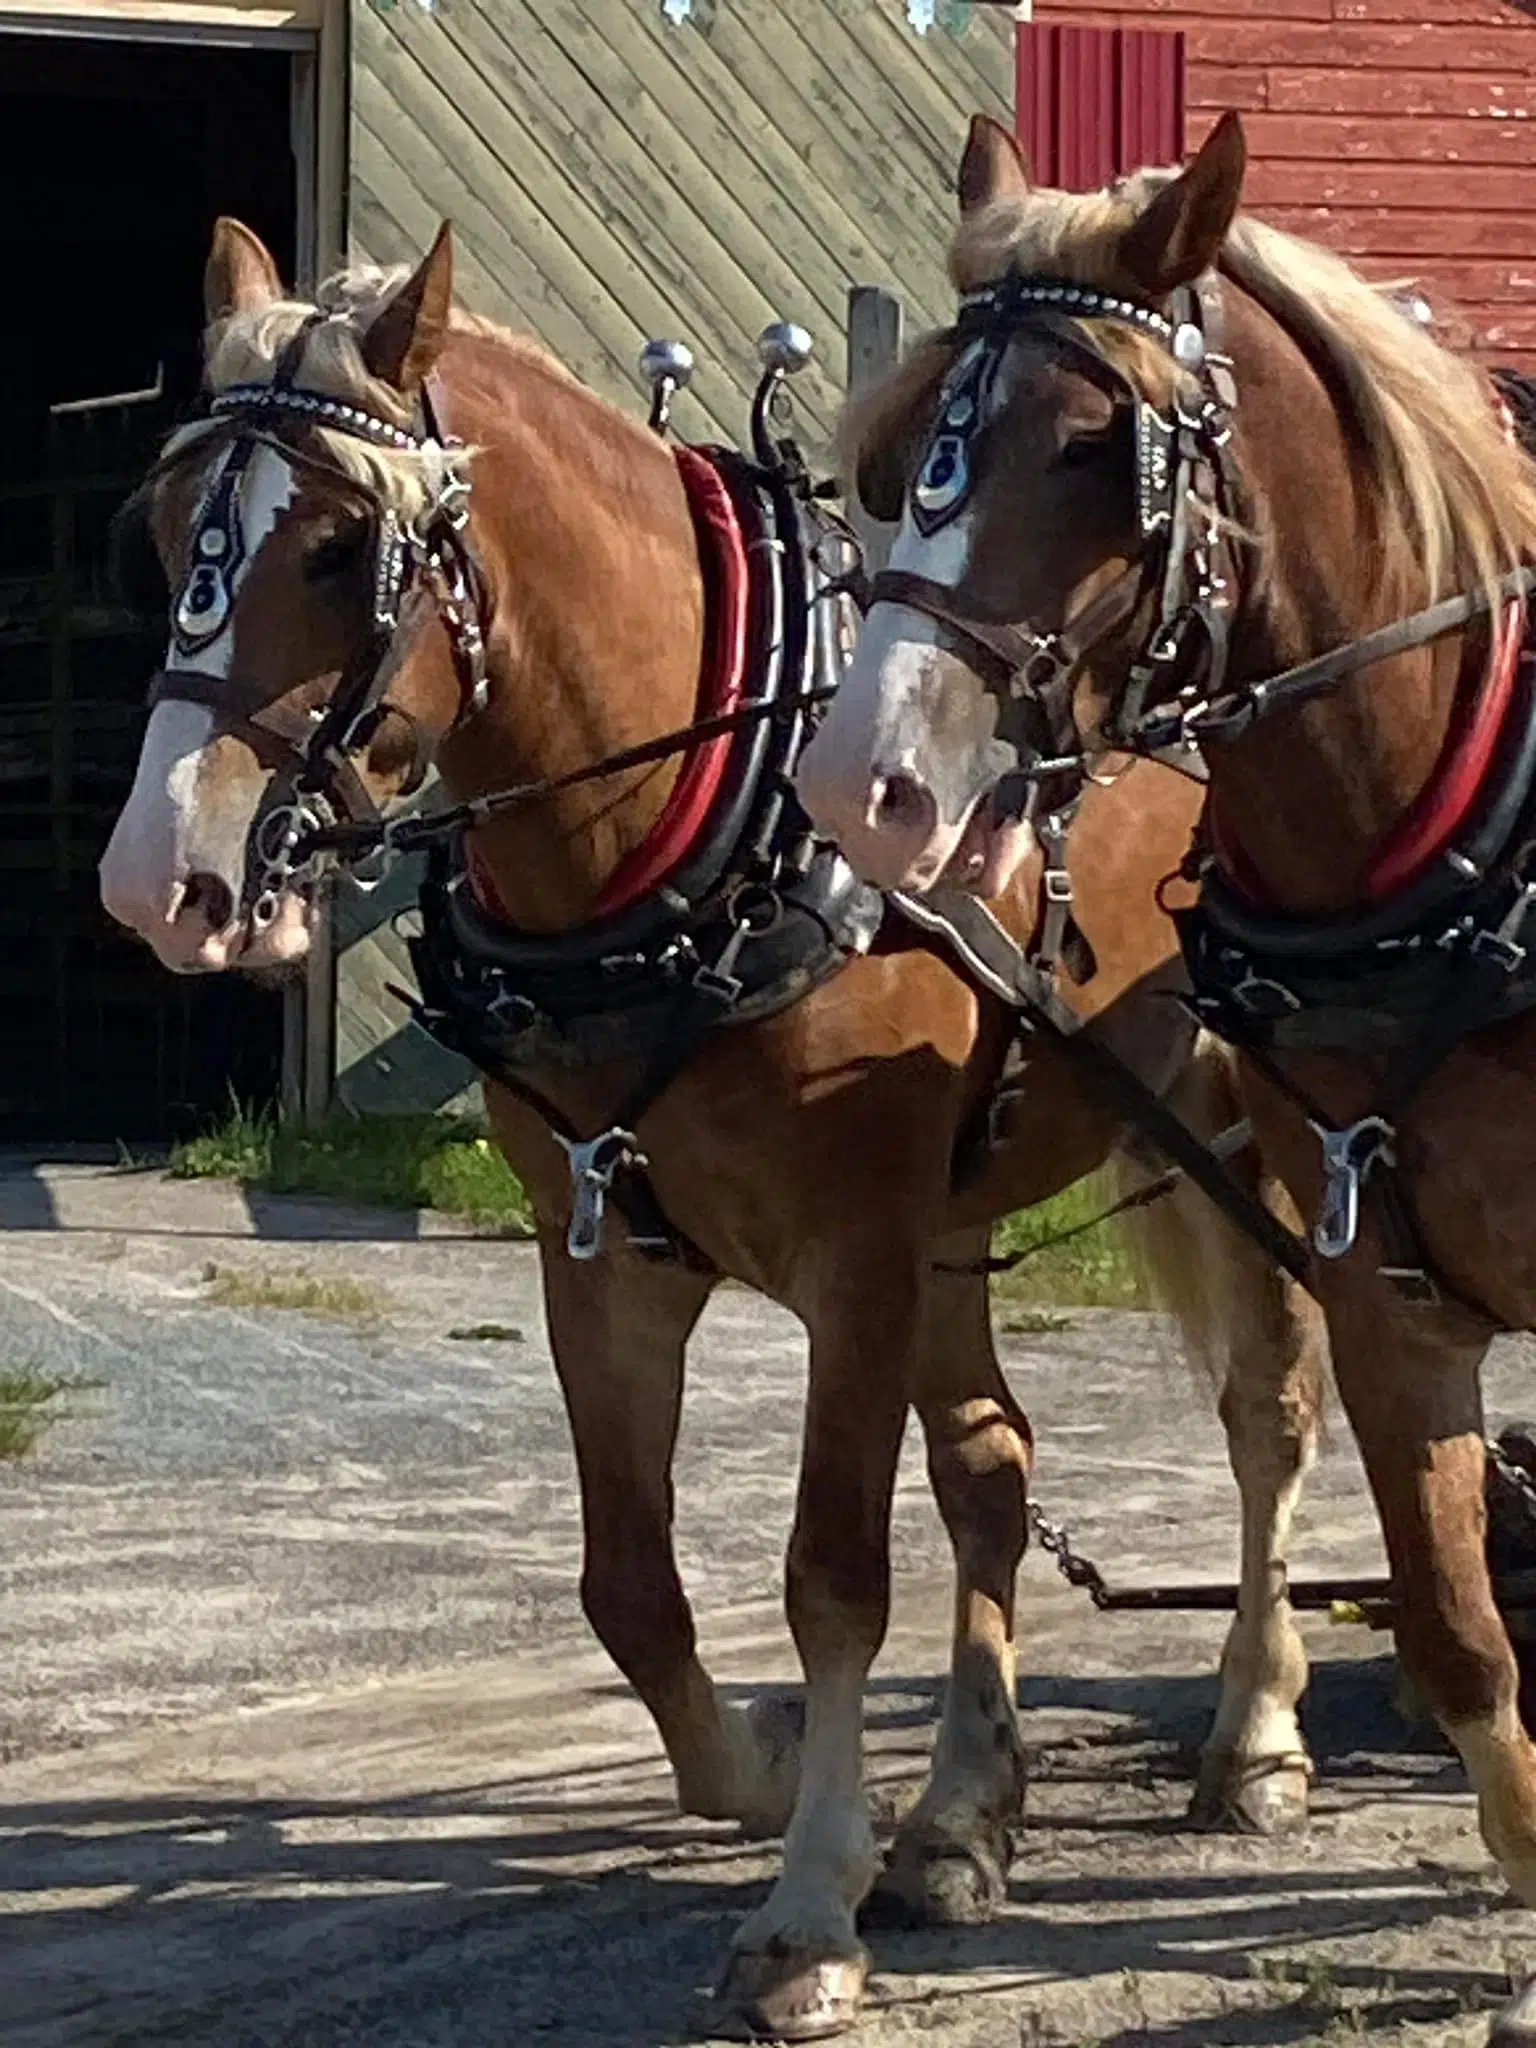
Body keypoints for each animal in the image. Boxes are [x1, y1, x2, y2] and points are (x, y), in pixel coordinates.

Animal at [96, 216, 1327, 2039]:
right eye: (175, 519)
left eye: (332, 547)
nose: (151, 880)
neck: (688, 835)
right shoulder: (604, 1255)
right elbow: (629, 1580)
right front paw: (762, 1767)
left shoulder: (855, 1258)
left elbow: (831, 1574)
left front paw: (808, 1911)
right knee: (995, 1469)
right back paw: (962, 1816)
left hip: (1252, 1130)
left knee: (1270, 1417)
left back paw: (1253, 1731)